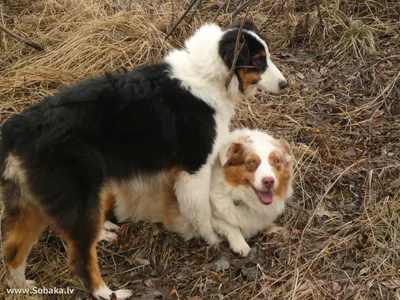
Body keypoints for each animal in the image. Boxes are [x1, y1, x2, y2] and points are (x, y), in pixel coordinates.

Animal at [103, 127, 294, 256]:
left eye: (276, 161)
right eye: (251, 163)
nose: (269, 182)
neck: (236, 193)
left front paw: (279, 230)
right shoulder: (203, 214)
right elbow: (229, 225)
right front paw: (241, 245)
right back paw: (108, 231)